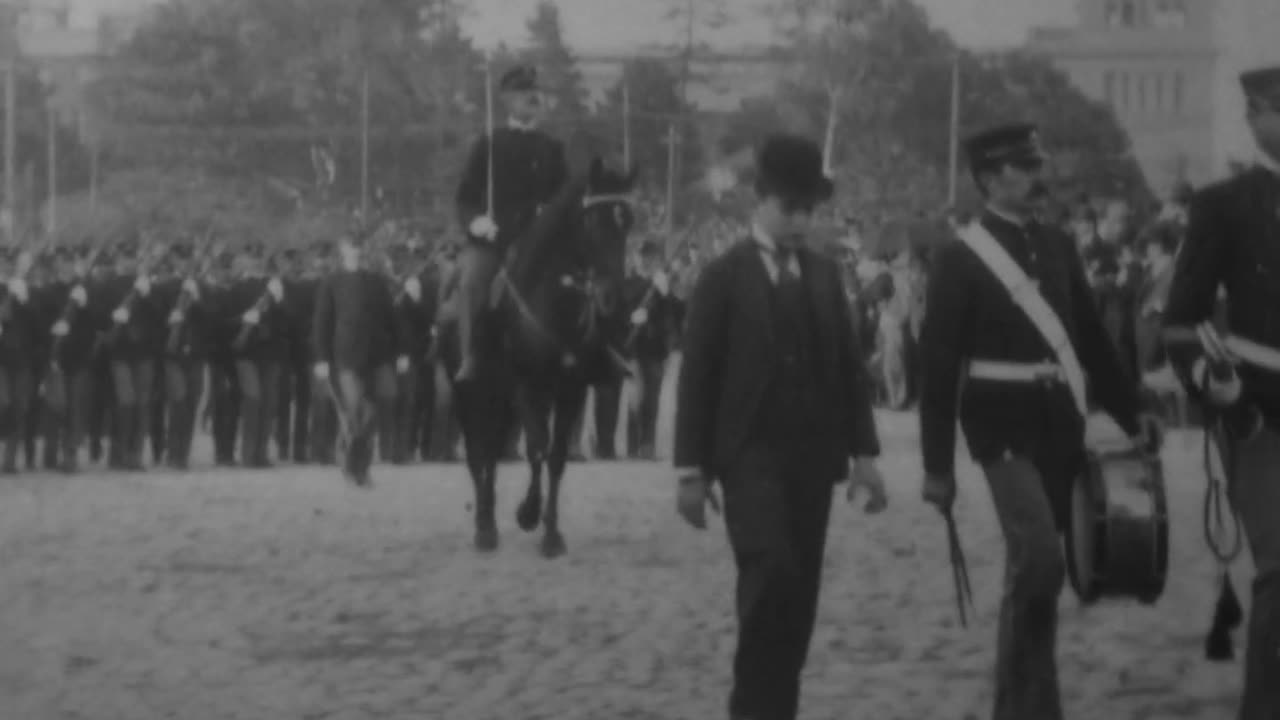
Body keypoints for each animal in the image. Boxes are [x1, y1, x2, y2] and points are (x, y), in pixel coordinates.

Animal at [442, 154, 637, 550]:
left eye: (628, 223)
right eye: (592, 221)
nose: (613, 299)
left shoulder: (569, 391)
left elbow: (555, 456)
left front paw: (551, 533)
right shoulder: (524, 389)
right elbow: (535, 448)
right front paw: (528, 514)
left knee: (492, 452)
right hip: (470, 393)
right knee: (478, 454)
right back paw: (484, 526)